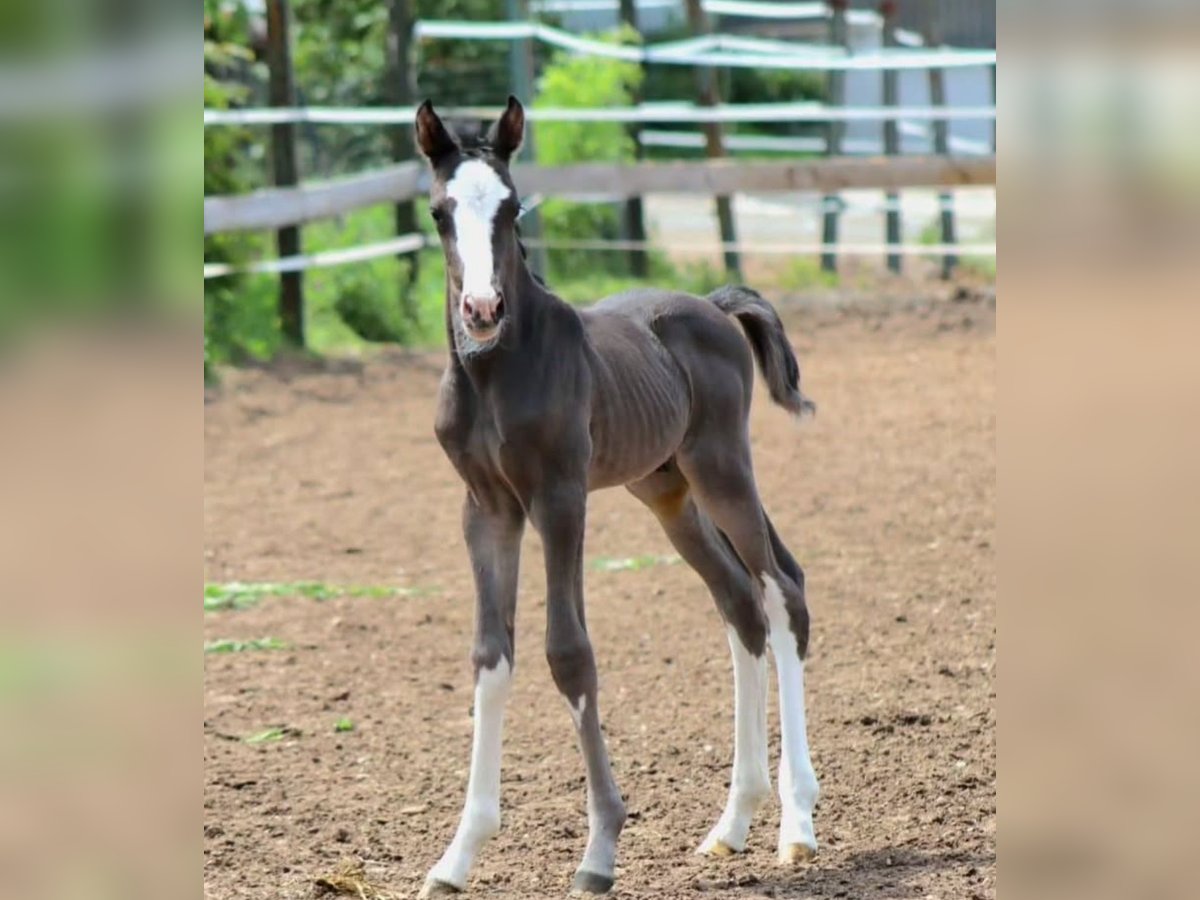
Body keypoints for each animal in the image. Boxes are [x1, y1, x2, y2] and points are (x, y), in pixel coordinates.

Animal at [417, 95, 820, 897]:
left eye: (510, 207)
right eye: (442, 211)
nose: (481, 310)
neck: (494, 373)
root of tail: (713, 304)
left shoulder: (559, 497)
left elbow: (568, 652)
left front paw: (599, 850)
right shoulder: (487, 508)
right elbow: (491, 656)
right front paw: (457, 856)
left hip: (721, 468)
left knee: (781, 590)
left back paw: (795, 824)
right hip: (666, 492)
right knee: (739, 604)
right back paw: (731, 825)